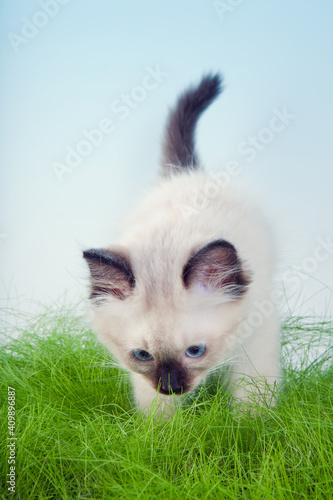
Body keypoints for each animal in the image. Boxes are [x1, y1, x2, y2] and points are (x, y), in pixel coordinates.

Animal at [82, 74, 278, 416]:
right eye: (142, 355)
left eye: (195, 351)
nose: (171, 387)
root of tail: (187, 173)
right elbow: (158, 416)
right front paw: (164, 431)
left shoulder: (259, 334)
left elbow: (252, 396)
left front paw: (250, 425)